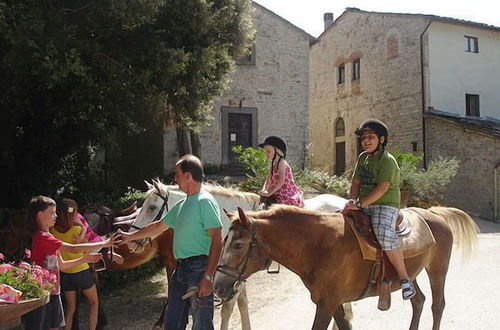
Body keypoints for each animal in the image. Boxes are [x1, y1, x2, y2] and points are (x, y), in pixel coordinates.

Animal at [215, 205, 480, 328]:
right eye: (224, 241)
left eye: (238, 244)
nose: (218, 287)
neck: (318, 245)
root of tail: (435, 213)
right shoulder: (333, 303)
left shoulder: (327, 304)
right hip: (410, 275)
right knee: (418, 301)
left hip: (437, 270)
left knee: (437, 305)